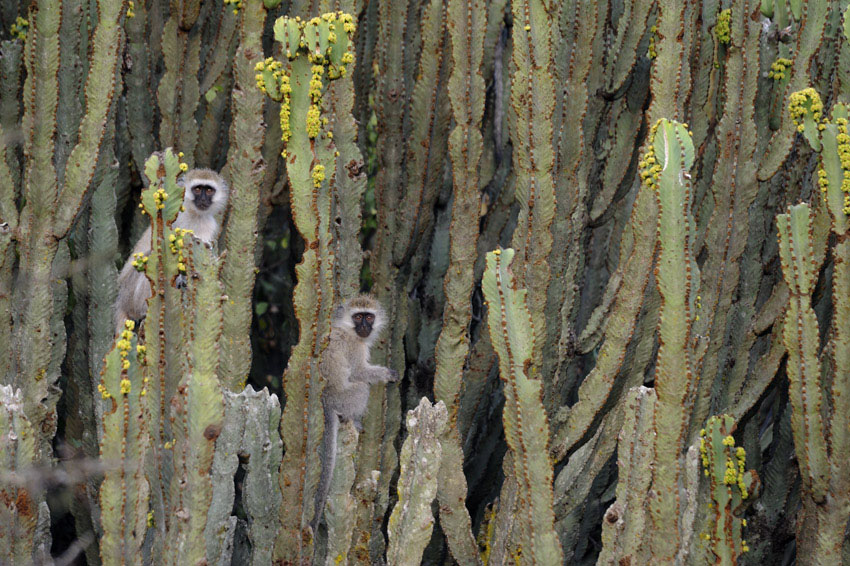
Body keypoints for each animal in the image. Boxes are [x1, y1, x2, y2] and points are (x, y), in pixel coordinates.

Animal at [113, 168, 229, 334]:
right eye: (198, 189)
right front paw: (181, 279)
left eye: (209, 190)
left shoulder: (210, 227)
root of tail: (121, 301)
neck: (195, 216)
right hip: (130, 294)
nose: (203, 199)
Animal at [311, 295, 399, 532]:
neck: (349, 330)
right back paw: (351, 418)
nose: (364, 327)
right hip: (345, 398)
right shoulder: (355, 348)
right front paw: (387, 374)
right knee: (362, 388)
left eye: (369, 317)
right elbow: (359, 372)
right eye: (358, 317)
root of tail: (326, 400)